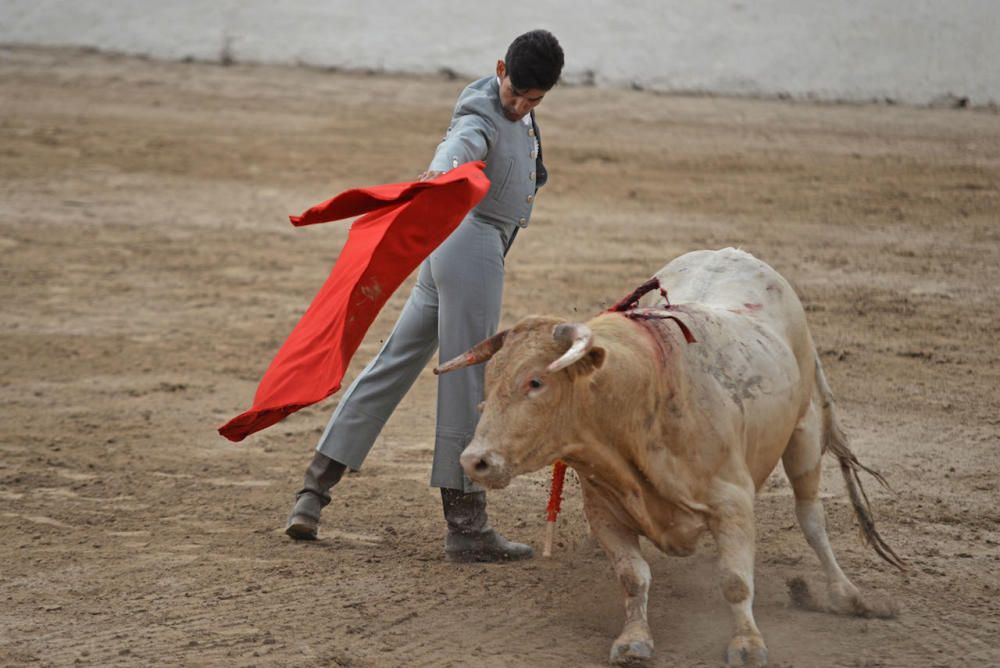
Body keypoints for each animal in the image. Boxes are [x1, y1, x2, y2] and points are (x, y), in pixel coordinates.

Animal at [434, 249, 904, 668]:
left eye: (535, 381)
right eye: (489, 382)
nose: (475, 461)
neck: (641, 396)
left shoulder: (733, 502)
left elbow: (735, 581)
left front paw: (747, 644)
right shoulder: (605, 510)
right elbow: (633, 576)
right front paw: (634, 641)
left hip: (803, 432)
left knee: (811, 519)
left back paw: (846, 595)